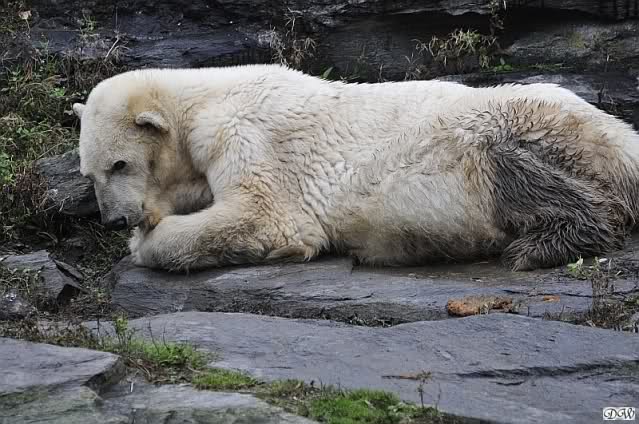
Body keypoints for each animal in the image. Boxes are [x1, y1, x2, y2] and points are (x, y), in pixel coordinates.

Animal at [72, 64, 639, 272]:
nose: (114, 220)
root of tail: (623, 137)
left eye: (119, 163)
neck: (203, 99)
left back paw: (536, 247)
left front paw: (145, 241)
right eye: (89, 173)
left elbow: (265, 217)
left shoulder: (245, 133)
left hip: (514, 129)